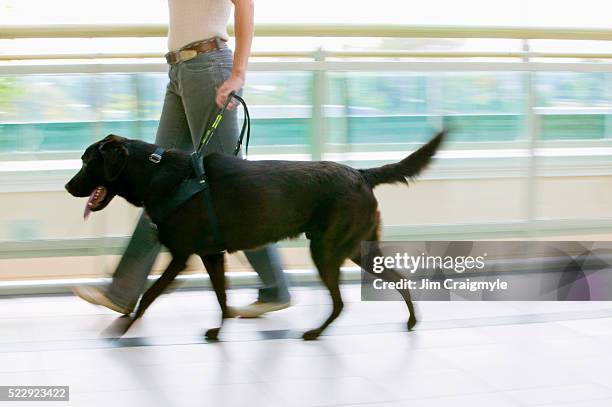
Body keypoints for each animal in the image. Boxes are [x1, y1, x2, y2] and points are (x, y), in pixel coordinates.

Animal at [64, 131, 444, 342]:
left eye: (86, 161)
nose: (68, 187)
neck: (159, 174)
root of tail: (362, 173)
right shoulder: (211, 255)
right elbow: (221, 298)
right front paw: (219, 331)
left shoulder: (182, 256)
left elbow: (149, 295)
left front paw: (122, 328)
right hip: (355, 248)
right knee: (397, 277)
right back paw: (412, 320)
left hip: (326, 250)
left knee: (340, 302)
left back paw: (316, 332)